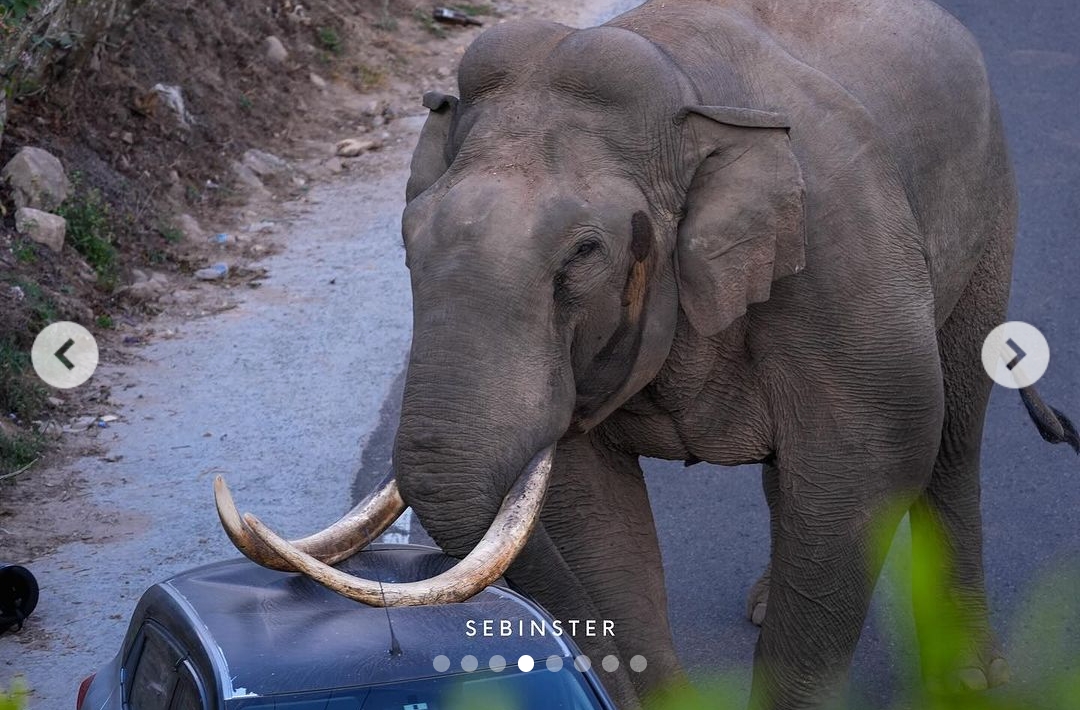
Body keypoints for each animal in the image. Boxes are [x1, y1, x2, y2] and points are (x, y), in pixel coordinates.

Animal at [214, 0, 1080, 708]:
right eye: (407, 237)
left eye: (584, 253)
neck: (685, 105)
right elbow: (588, 511)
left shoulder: (844, 245)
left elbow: (869, 458)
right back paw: (765, 602)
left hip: (989, 215)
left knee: (953, 432)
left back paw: (972, 678)